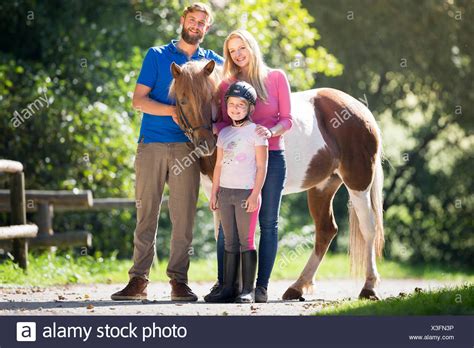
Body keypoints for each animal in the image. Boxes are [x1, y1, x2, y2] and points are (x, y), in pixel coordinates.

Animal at [170, 59, 386, 300]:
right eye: (182, 99)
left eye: (211, 98)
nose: (205, 143)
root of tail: (361, 110)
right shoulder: (215, 193)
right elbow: (223, 235)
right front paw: (226, 288)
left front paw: (240, 290)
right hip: (322, 187)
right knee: (326, 231)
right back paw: (298, 286)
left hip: (358, 184)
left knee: (369, 228)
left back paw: (369, 286)